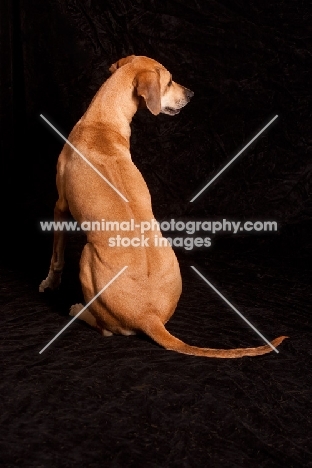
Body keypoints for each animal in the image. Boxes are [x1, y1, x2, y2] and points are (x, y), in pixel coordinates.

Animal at [39, 56, 288, 358]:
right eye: (169, 82)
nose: (191, 94)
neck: (102, 124)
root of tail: (149, 317)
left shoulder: (60, 206)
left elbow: (56, 258)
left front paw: (49, 284)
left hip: (88, 255)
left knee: (105, 329)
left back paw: (77, 309)